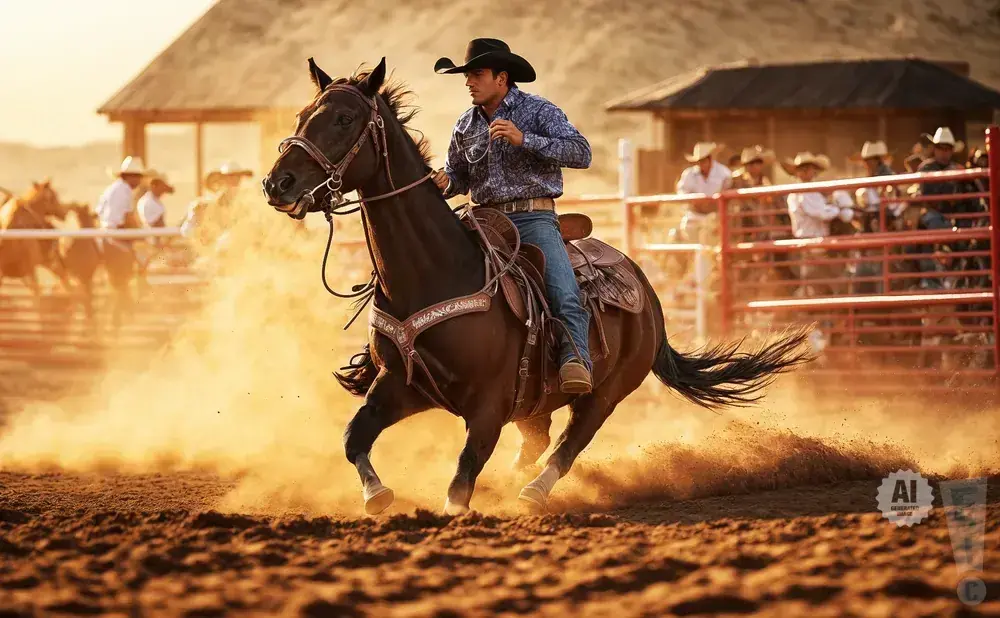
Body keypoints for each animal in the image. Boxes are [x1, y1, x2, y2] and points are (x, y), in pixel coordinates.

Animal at [261, 57, 810, 516]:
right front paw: (377, 496)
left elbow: (462, 479)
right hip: (536, 398)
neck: (434, 272)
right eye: (303, 115)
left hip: (607, 392)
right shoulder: (398, 385)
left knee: (569, 445)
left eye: (343, 119)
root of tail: (646, 289)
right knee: (538, 438)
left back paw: (532, 493)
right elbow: (354, 438)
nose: (277, 184)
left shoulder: (488, 406)